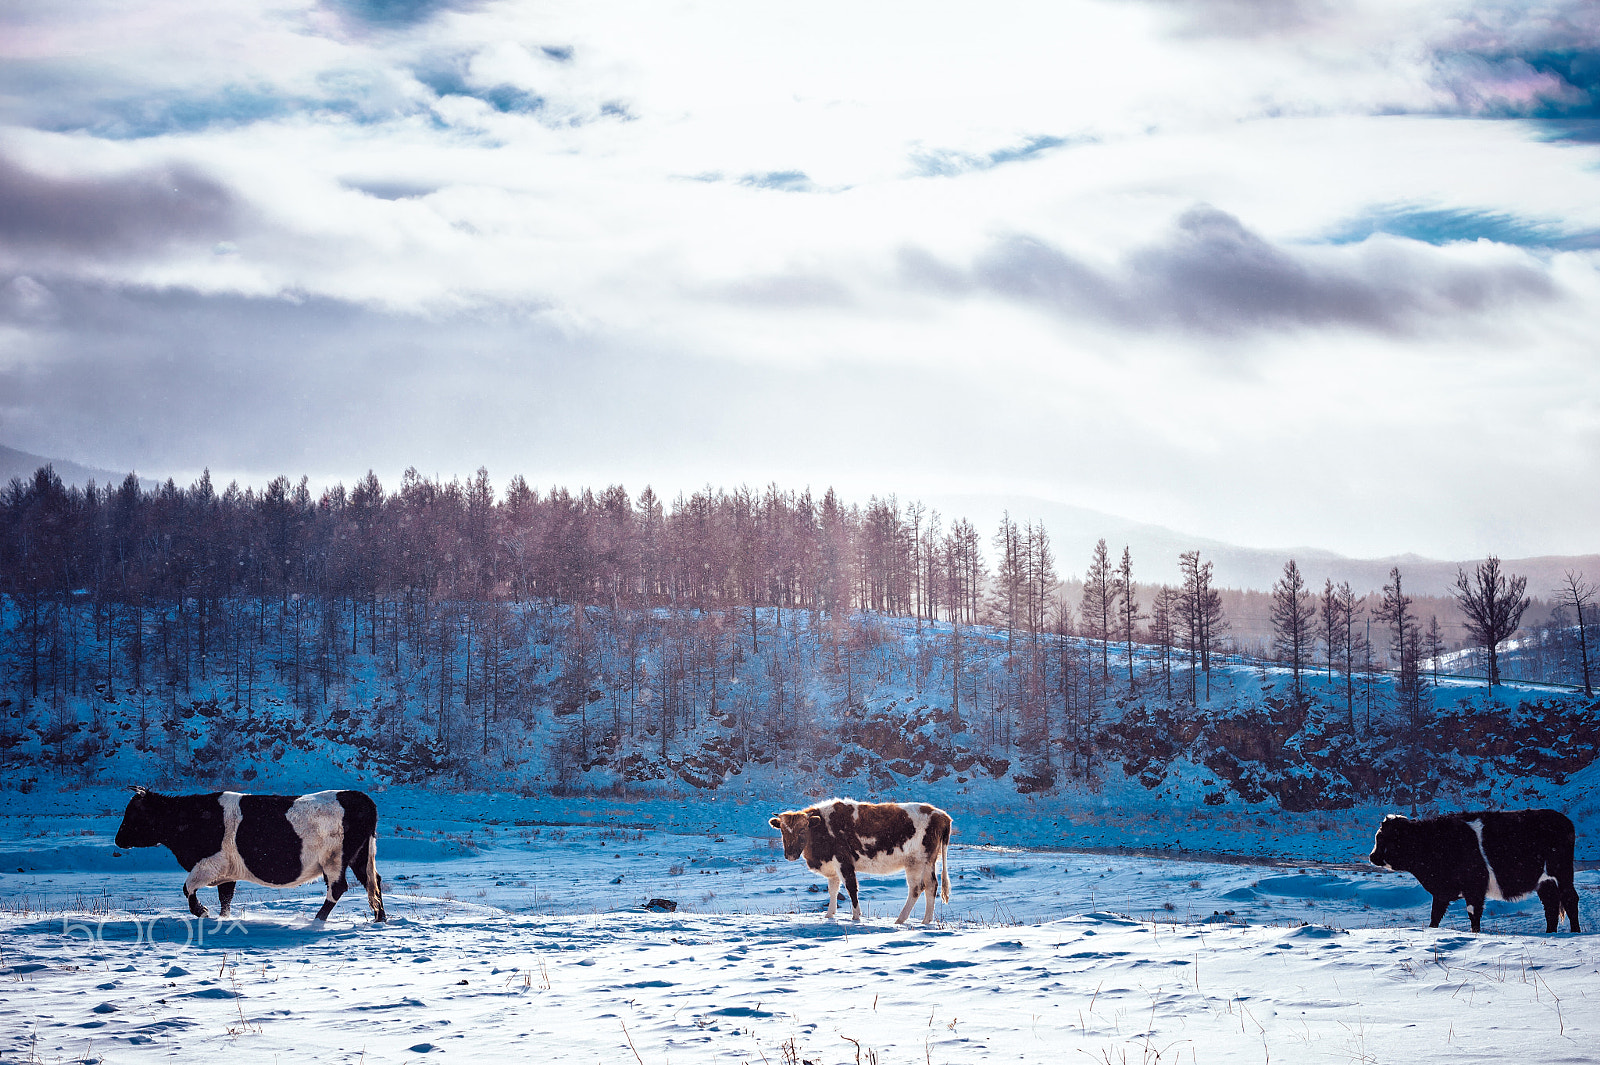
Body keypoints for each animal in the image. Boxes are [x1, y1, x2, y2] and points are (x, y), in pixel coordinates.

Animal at [116, 783, 387, 914]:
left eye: (133, 815)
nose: (118, 840)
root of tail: (360, 798)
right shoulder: (226, 873)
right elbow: (225, 899)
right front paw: (223, 919)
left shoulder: (209, 864)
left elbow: (187, 888)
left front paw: (201, 912)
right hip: (360, 855)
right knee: (373, 882)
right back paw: (379, 919)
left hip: (335, 860)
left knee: (338, 888)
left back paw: (316, 921)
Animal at [764, 796, 947, 921]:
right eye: (782, 831)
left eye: (803, 829)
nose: (790, 855)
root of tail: (940, 814)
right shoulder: (833, 867)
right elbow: (833, 890)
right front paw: (829, 914)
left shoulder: (843, 861)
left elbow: (851, 888)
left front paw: (856, 916)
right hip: (929, 862)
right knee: (931, 886)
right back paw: (926, 921)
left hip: (915, 862)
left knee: (917, 888)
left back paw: (900, 920)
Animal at [1369, 805, 1580, 927]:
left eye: (1384, 838)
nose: (1372, 857)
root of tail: (1564, 820)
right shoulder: (1442, 892)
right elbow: (1435, 916)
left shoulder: (1474, 887)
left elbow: (1473, 914)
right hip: (1545, 882)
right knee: (1551, 908)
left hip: (1562, 873)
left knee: (1570, 900)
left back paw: (1575, 932)